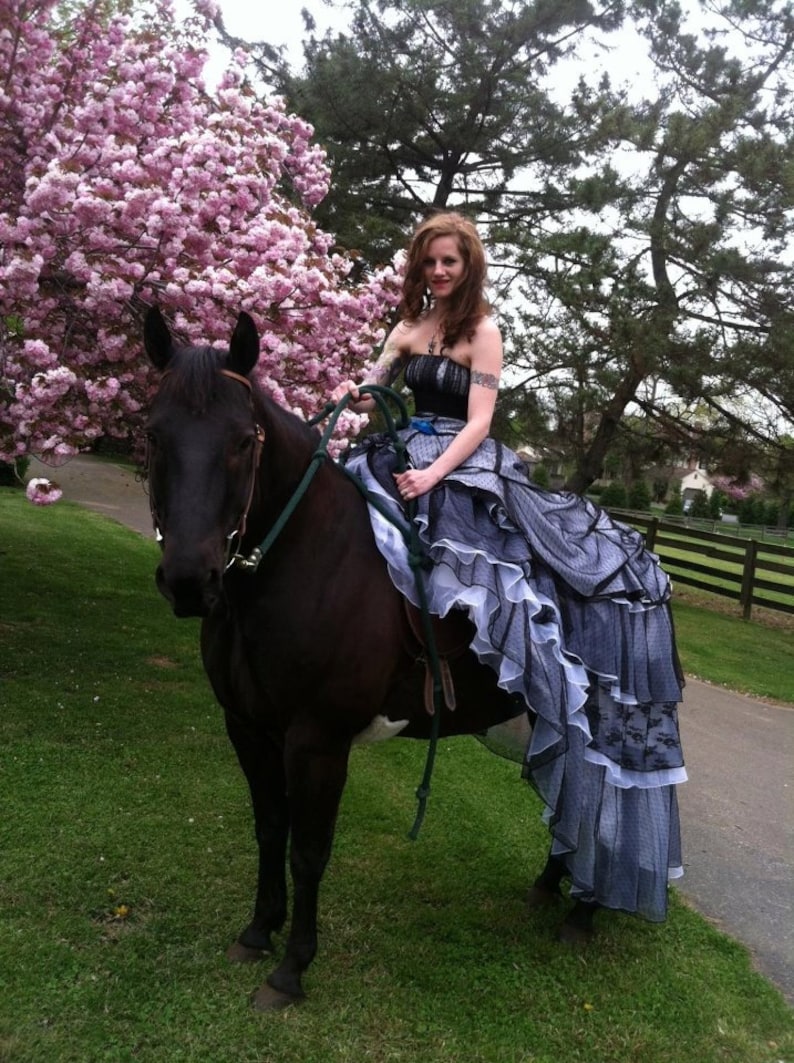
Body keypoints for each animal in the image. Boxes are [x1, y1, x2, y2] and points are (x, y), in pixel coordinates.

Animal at [142, 310, 590, 1011]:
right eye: (154, 434)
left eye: (243, 440)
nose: (190, 580)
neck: (304, 562)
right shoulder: (247, 727)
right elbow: (269, 828)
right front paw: (257, 931)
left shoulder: (317, 742)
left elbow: (308, 851)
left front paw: (292, 969)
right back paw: (552, 887)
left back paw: (584, 914)